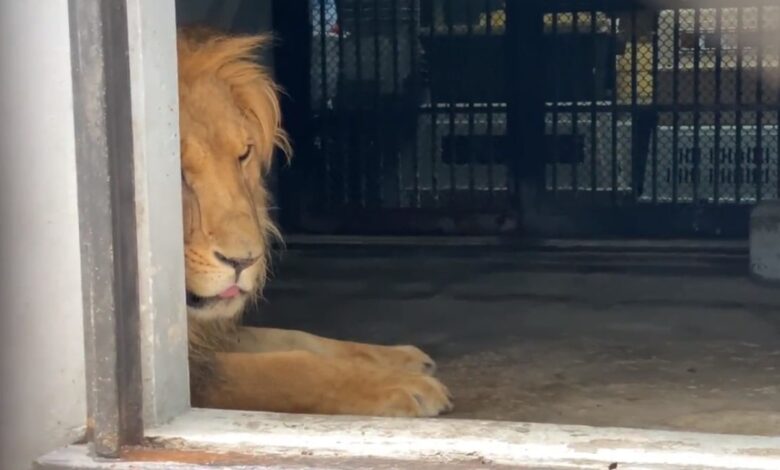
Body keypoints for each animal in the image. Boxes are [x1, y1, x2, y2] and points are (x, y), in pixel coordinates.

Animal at [177, 28, 452, 417]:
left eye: (243, 154)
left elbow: (298, 338)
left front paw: (399, 358)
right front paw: (399, 385)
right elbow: (287, 366)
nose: (245, 261)